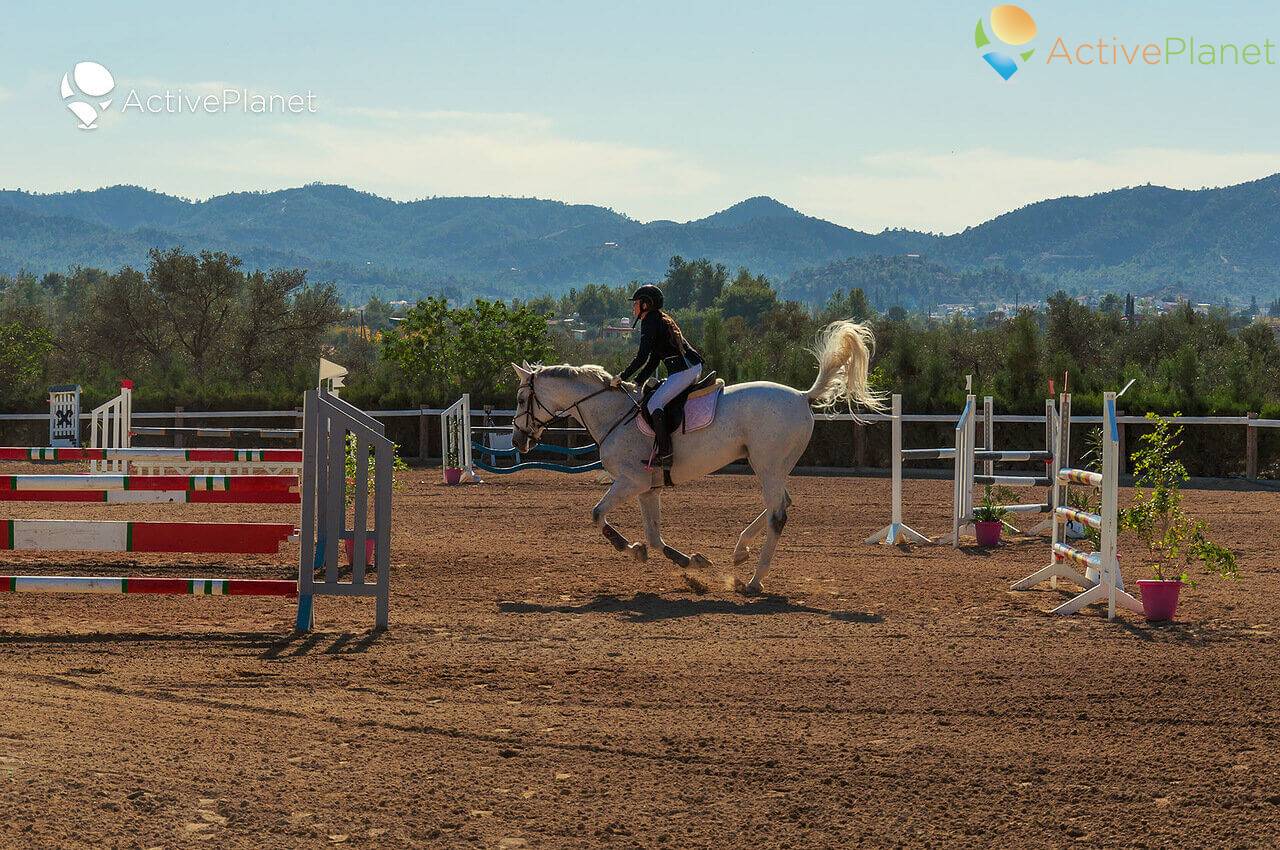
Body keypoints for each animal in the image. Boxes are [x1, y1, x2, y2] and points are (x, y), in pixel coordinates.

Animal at [509, 317, 880, 591]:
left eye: (520, 398)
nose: (517, 440)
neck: (612, 412)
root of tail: (803, 396)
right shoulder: (648, 488)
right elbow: (654, 537)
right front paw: (689, 561)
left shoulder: (631, 481)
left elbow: (598, 514)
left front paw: (630, 549)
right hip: (771, 465)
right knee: (782, 503)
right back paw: (740, 553)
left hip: (768, 465)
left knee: (778, 513)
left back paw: (753, 581)